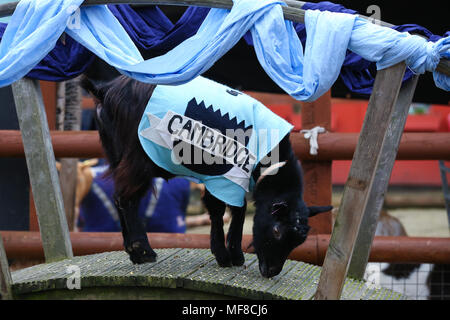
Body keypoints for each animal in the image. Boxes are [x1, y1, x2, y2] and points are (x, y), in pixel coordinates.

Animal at [80, 75, 330, 278]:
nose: (271, 272)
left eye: (300, 240)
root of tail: (106, 92)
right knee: (126, 198)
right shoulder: (223, 179)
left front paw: (235, 254)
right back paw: (143, 251)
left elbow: (239, 211)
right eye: (277, 231)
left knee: (118, 198)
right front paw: (224, 255)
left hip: (115, 154)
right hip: (137, 158)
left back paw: (134, 252)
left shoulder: (237, 179)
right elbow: (219, 210)